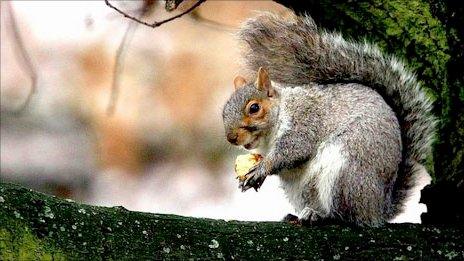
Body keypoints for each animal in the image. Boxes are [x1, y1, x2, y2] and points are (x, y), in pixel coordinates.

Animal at [221, 12, 436, 225]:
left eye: (254, 108)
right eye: (223, 112)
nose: (231, 138)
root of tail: (378, 209)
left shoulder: (305, 120)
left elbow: (294, 150)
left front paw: (262, 168)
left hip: (346, 171)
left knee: (346, 215)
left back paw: (324, 216)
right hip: (303, 190)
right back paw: (300, 215)